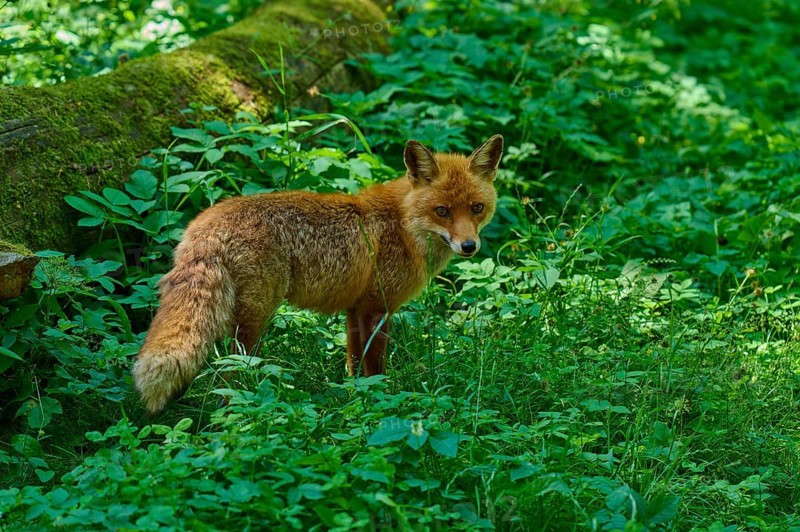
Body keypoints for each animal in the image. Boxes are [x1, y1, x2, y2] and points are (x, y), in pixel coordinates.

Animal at [132, 134, 504, 414]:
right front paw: (382, 401)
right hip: (255, 316)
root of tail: (205, 225)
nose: (469, 246)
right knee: (233, 369)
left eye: (477, 208)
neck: (403, 225)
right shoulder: (377, 308)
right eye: (442, 211)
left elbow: (354, 366)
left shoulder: (355, 310)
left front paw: (355, 399)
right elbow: (376, 367)